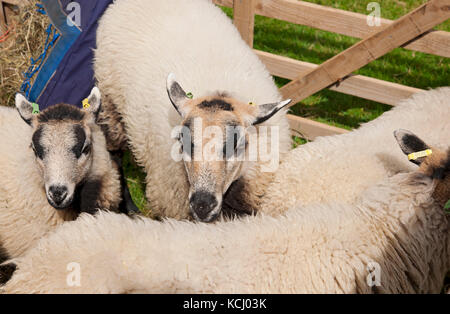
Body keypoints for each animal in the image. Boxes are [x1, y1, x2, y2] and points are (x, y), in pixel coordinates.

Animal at [94, 0, 292, 222]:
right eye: (184, 141)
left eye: (236, 144)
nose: (202, 204)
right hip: (110, 103)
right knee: (115, 156)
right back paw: (129, 206)